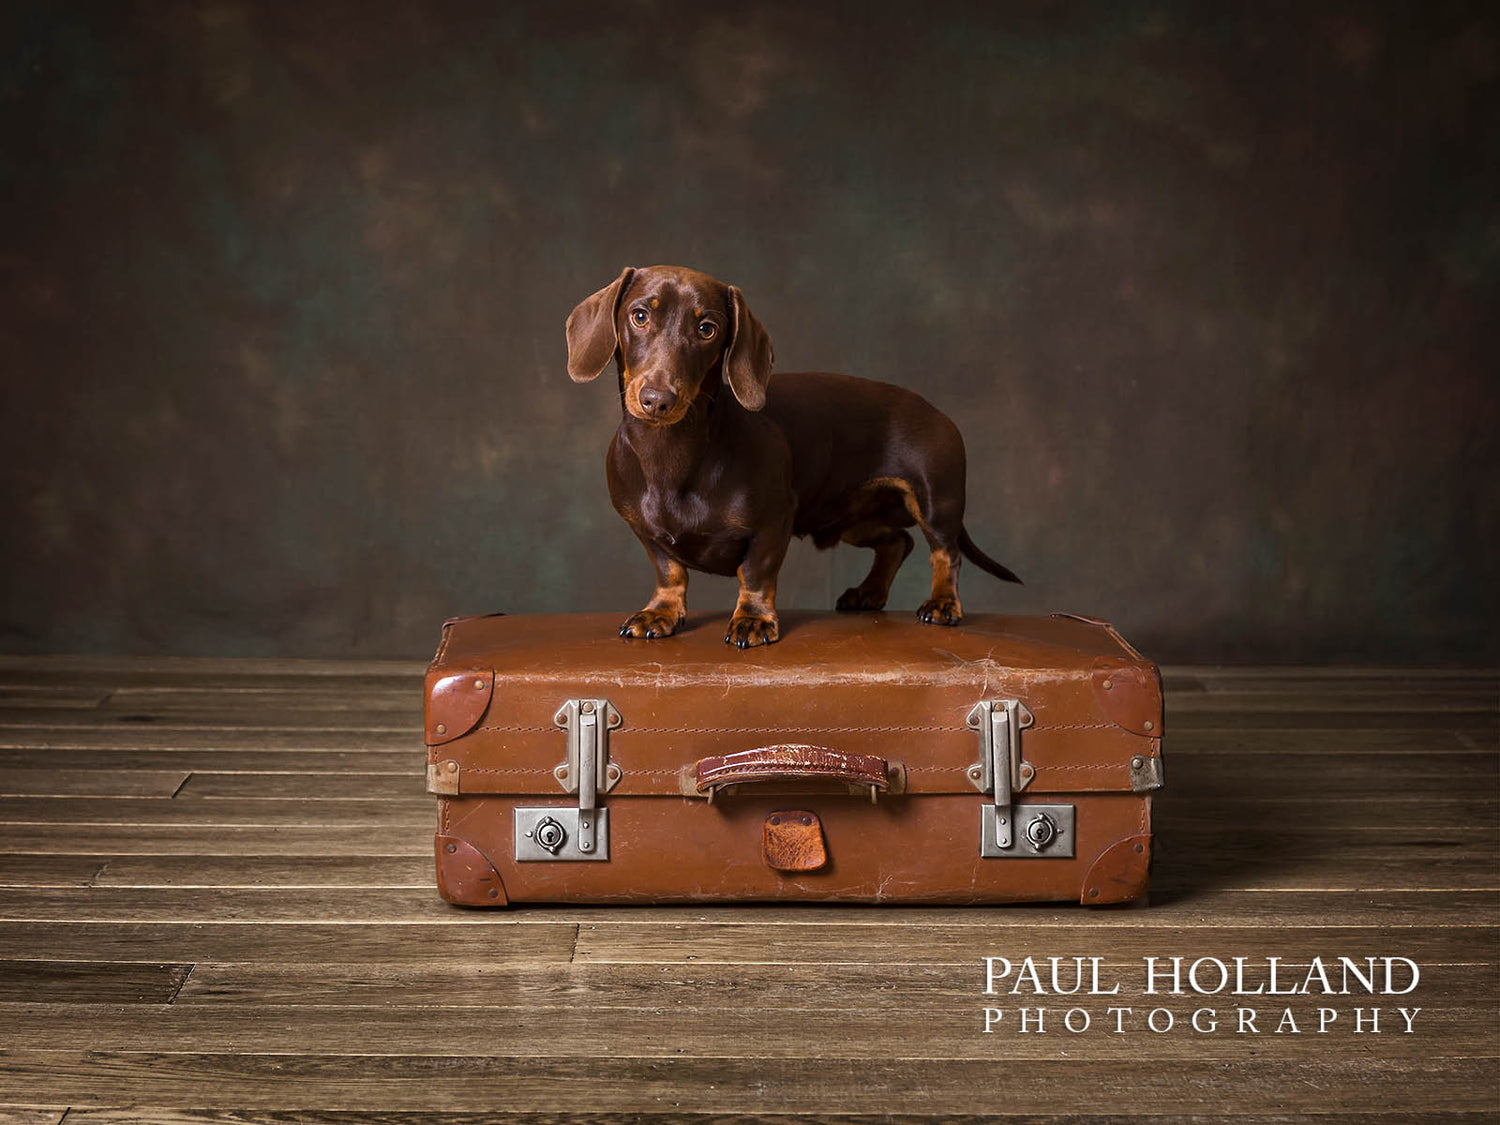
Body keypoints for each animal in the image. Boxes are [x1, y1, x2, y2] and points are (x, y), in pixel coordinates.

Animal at [564, 265, 1020, 648]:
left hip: (935, 501)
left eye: (707, 328)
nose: (658, 400)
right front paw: (660, 613)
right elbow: (670, 572)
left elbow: (755, 574)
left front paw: (753, 619)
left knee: (945, 552)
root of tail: (936, 410)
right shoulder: (646, 533)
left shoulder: (773, 523)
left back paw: (942, 605)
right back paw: (868, 593)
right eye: (640, 316)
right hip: (849, 519)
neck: (671, 454)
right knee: (897, 542)